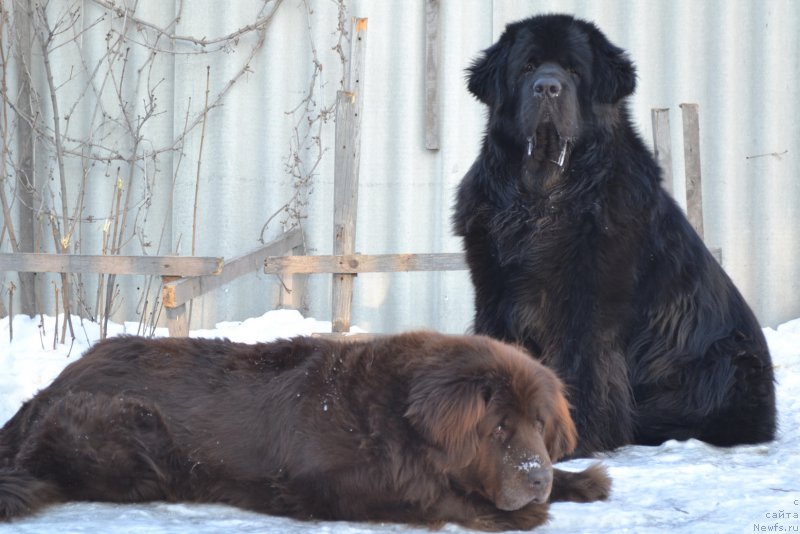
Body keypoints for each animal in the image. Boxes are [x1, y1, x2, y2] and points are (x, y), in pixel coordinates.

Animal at [0, 336, 608, 532]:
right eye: (499, 426)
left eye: (539, 425)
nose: (535, 479)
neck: (396, 421)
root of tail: (52, 387)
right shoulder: (334, 486)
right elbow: (430, 495)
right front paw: (518, 512)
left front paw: (580, 481)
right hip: (132, 428)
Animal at [456, 13, 776, 456]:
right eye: (528, 67)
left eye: (573, 70)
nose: (547, 87)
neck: (543, 197)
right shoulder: (494, 291)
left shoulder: (589, 303)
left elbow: (582, 368)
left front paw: (572, 439)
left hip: (728, 359)